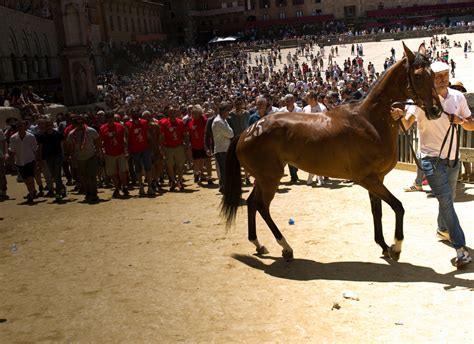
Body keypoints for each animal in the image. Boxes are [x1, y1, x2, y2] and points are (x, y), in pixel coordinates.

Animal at [220, 44, 442, 262]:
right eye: (418, 75)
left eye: (433, 74)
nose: (436, 110)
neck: (369, 121)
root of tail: (247, 132)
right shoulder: (366, 178)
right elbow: (398, 206)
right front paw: (395, 247)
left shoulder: (377, 178)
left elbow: (376, 211)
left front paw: (384, 246)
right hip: (270, 178)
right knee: (262, 206)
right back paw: (286, 247)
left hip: (263, 178)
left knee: (251, 203)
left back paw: (258, 244)